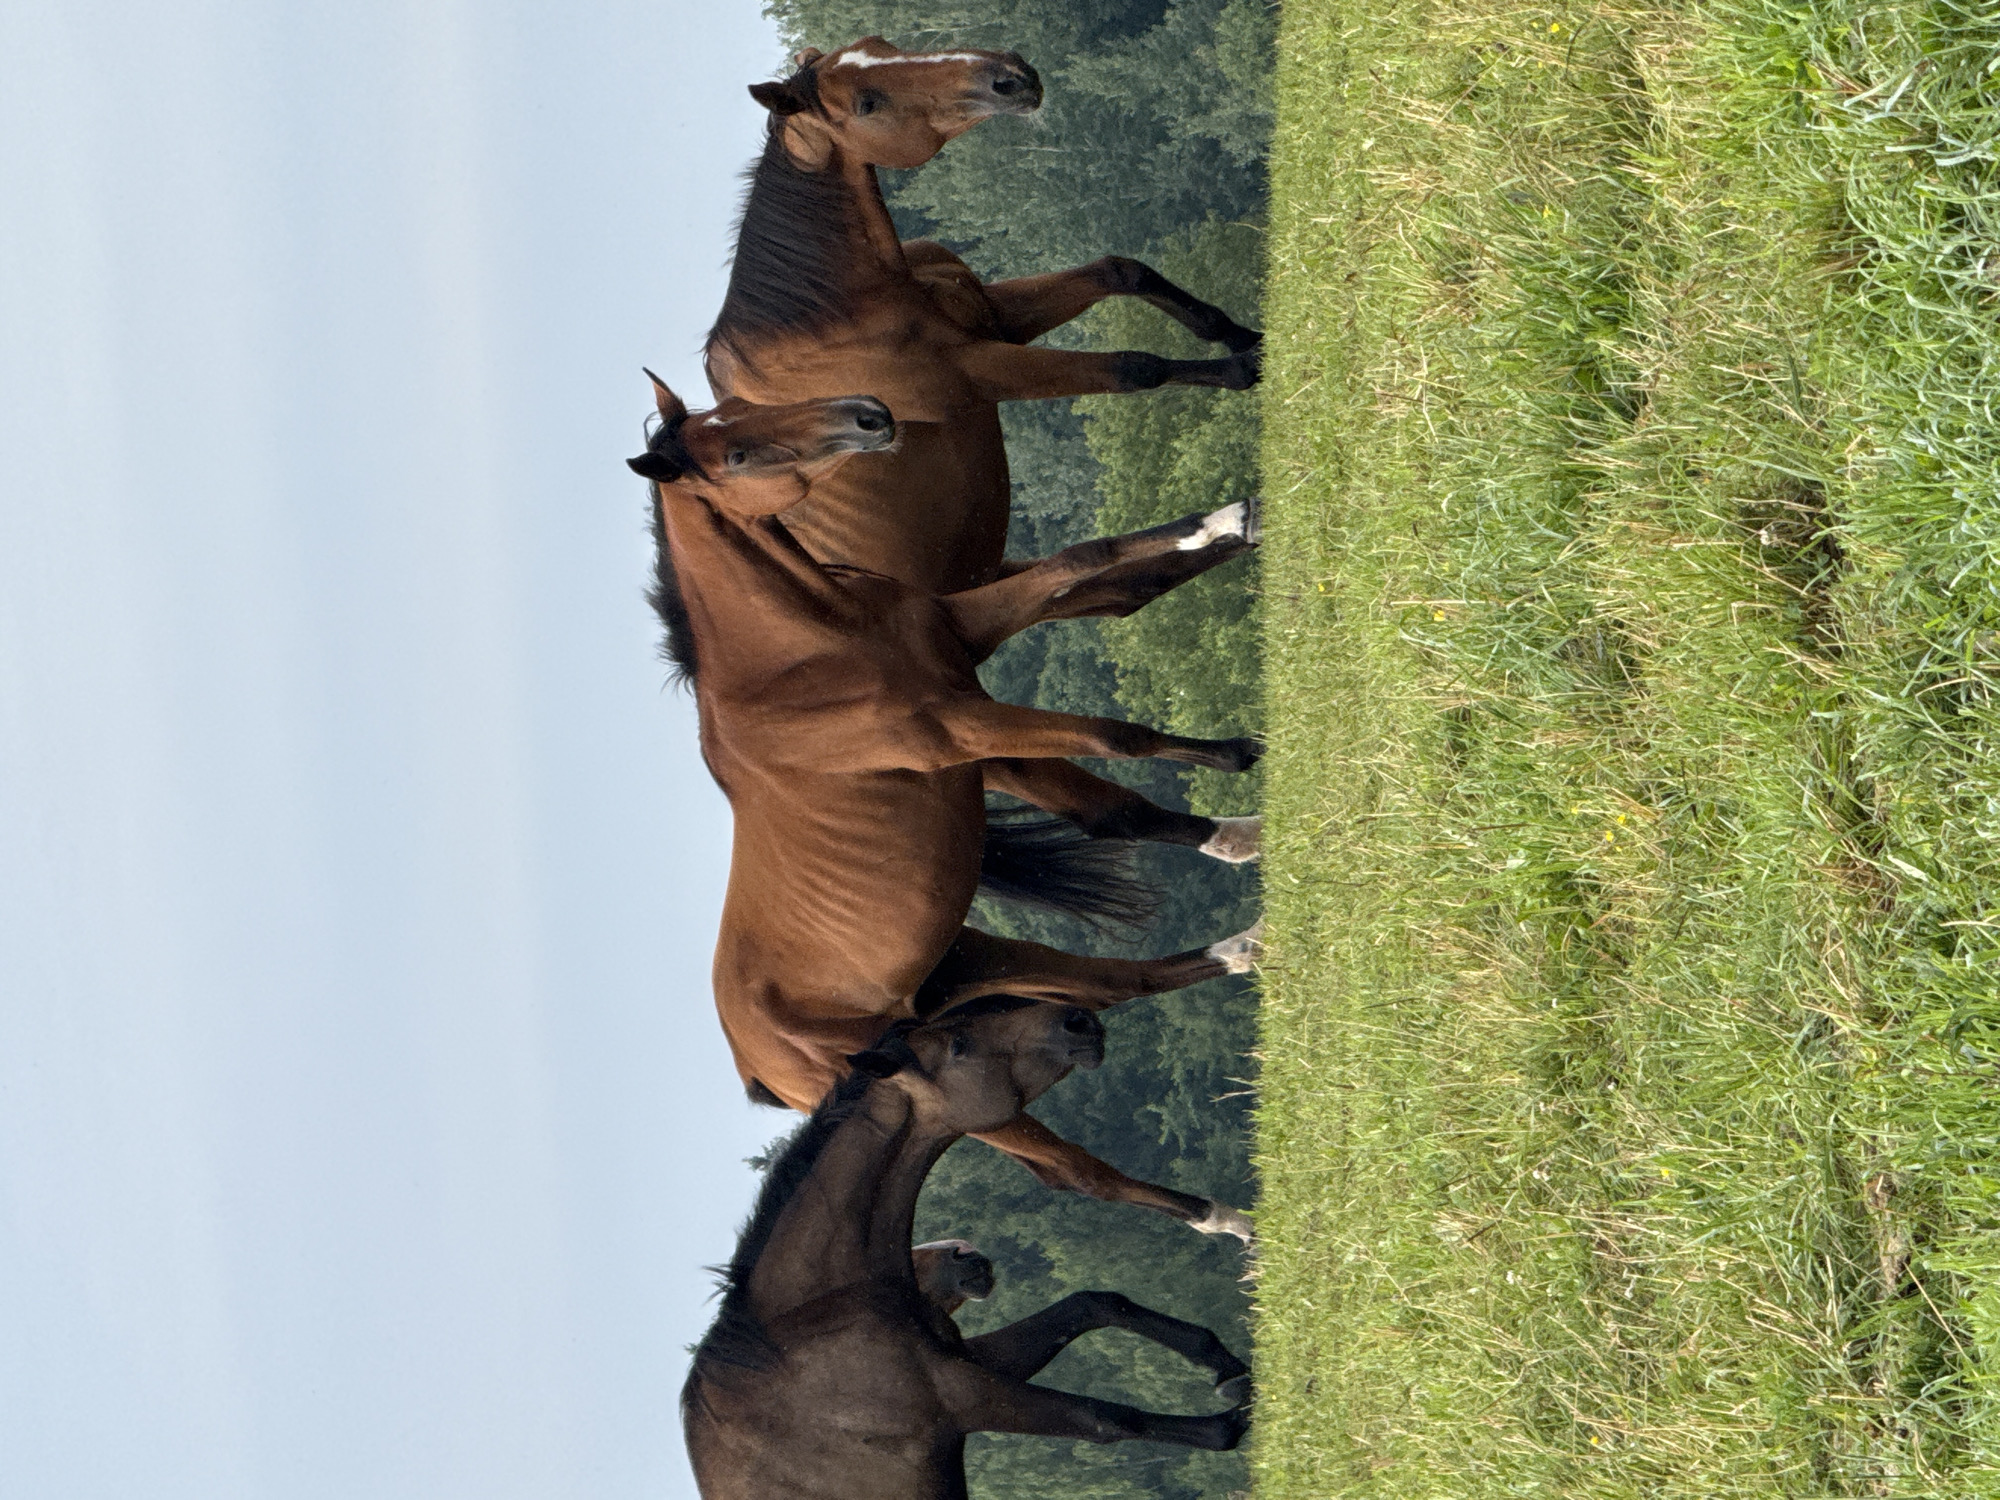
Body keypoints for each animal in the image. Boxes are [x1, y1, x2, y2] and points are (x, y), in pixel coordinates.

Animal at [627, 380, 1263, 1239]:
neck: (799, 661)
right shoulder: (970, 727)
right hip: (964, 1098)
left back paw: (1247, 943)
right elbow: (1112, 716)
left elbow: (1098, 577)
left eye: (745, 412)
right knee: (1075, 1172)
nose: (868, 415)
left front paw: (1242, 517)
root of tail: (760, 1070)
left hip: (985, 967)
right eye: (736, 454)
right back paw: (1231, 1224)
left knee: (1117, 985)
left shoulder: (969, 664)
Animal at [682, 998, 1253, 1500]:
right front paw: (1241, 1410)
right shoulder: (964, 1395)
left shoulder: (971, 1359)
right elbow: (1109, 1418)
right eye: (960, 1044)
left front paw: (1225, 1364)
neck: (807, 1322)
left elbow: (1093, 1305)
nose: (1077, 1019)